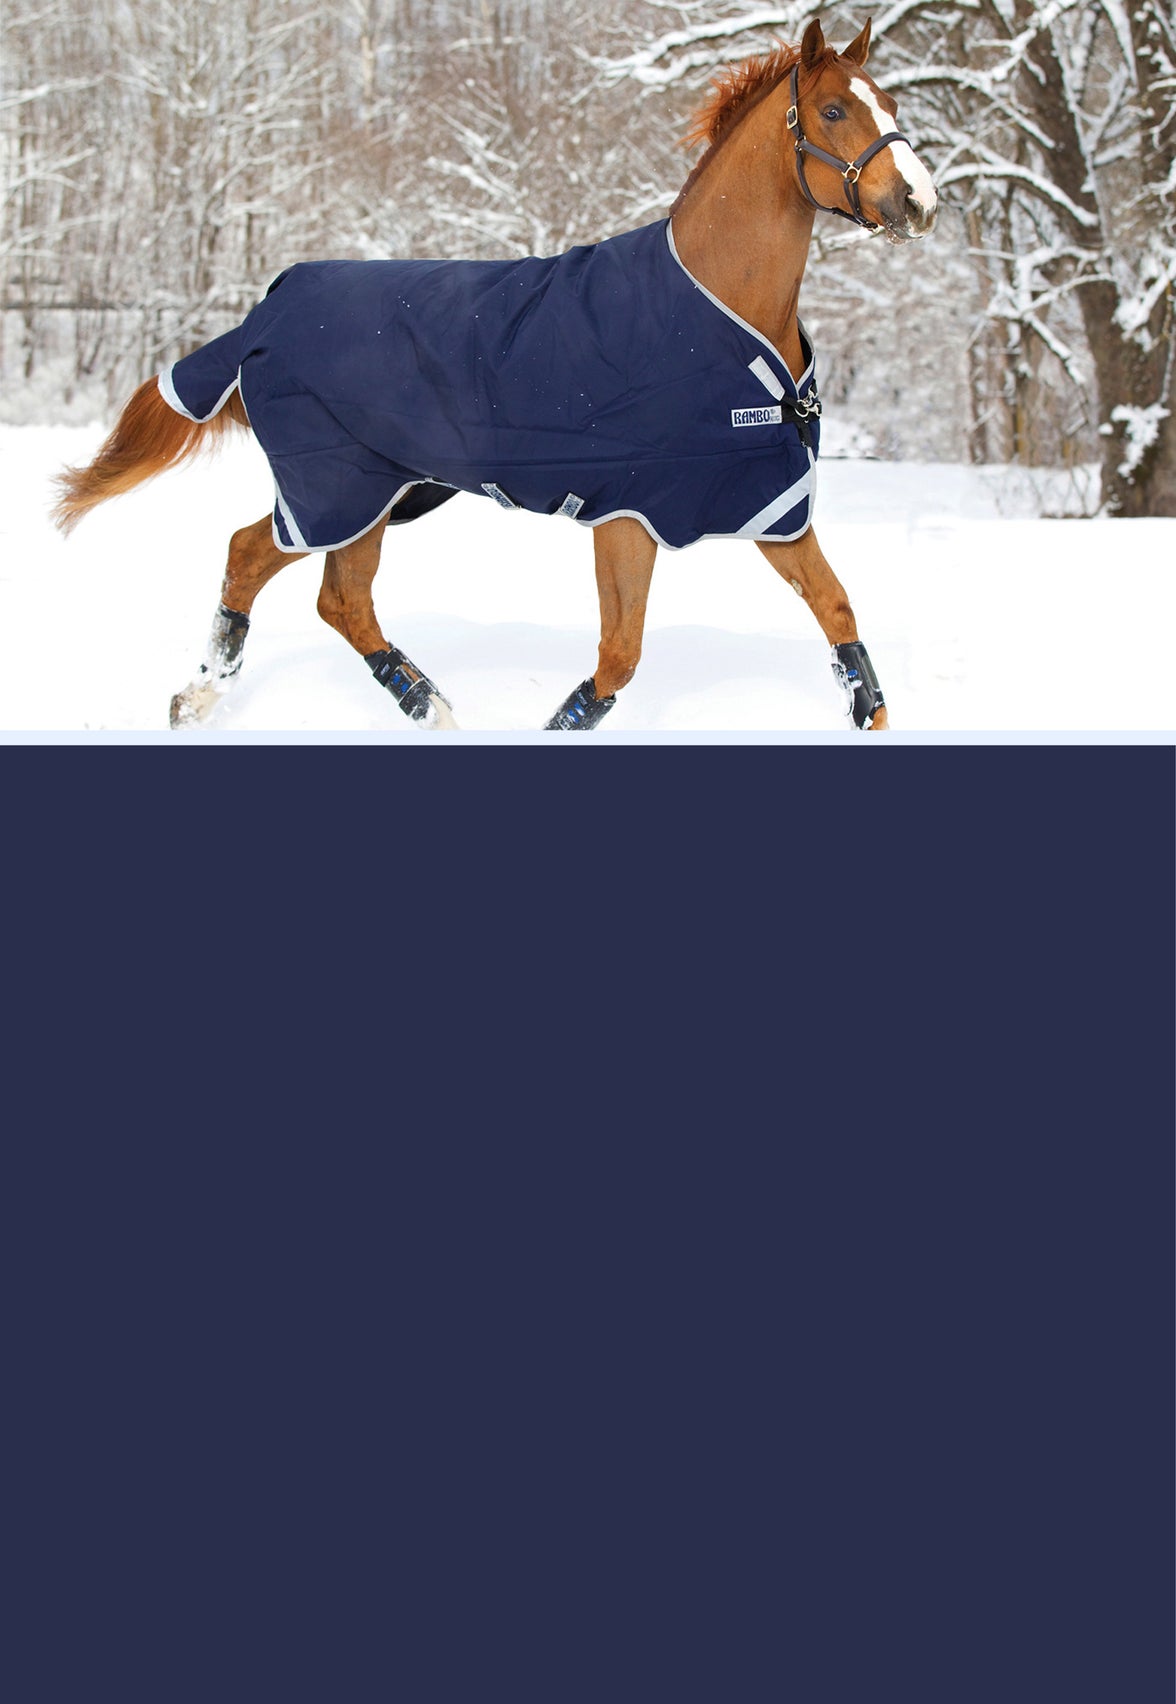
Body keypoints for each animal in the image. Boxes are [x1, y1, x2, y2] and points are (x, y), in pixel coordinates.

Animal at [52, 17, 936, 733]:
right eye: (834, 111)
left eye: (891, 104)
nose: (918, 202)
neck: (718, 308)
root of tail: (263, 317)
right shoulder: (628, 514)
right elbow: (618, 656)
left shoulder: (764, 504)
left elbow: (837, 612)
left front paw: (870, 713)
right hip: (339, 488)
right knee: (291, 573)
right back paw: (354, 701)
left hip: (379, 493)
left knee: (309, 582)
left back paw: (319, 698)